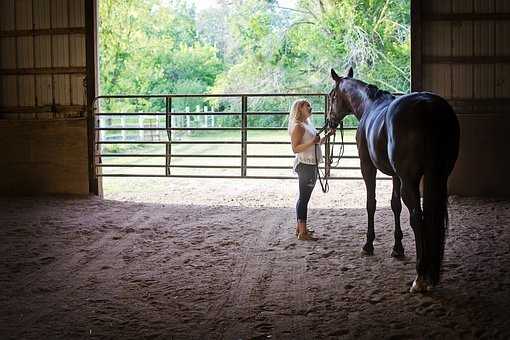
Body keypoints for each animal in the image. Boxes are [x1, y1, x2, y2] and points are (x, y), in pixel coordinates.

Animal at [328, 67, 460, 292]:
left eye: (332, 96)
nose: (330, 122)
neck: (369, 105)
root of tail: (428, 107)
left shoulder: (368, 167)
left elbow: (371, 203)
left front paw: (368, 245)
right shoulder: (396, 176)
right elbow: (394, 205)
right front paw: (397, 248)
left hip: (410, 181)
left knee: (417, 218)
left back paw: (420, 277)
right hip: (438, 176)